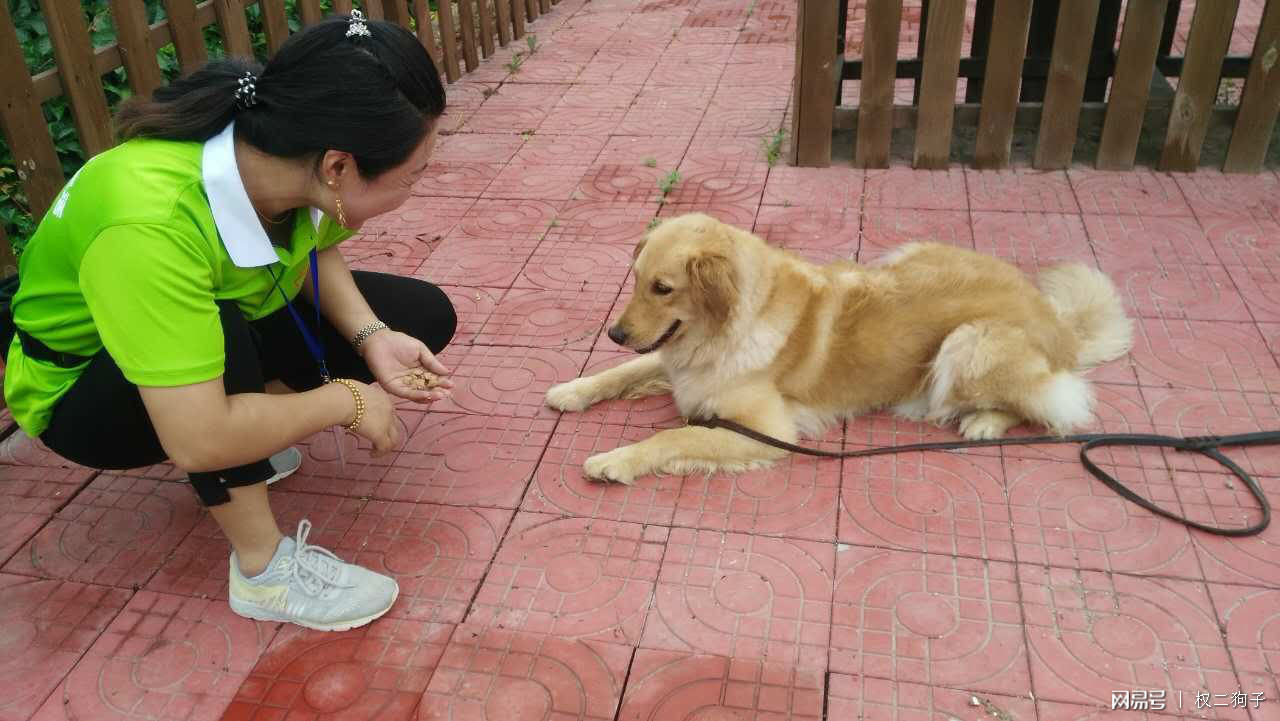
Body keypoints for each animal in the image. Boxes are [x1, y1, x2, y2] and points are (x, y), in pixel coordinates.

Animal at [545, 213, 1136, 484]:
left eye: (662, 288)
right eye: (634, 280)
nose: (615, 334)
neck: (723, 330)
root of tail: (1054, 317)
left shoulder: (767, 430)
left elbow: (671, 437)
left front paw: (615, 460)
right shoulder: (677, 361)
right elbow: (623, 373)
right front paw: (573, 389)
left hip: (968, 343)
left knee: (1055, 404)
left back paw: (986, 421)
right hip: (907, 256)